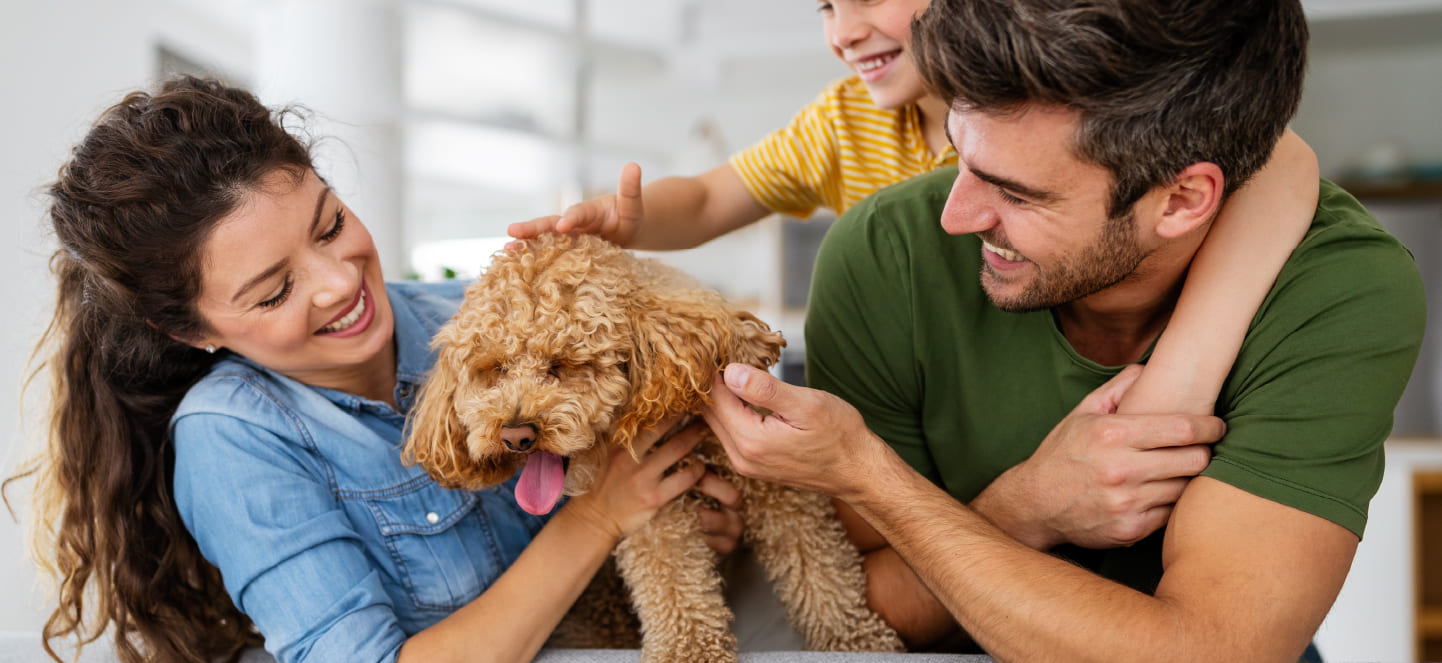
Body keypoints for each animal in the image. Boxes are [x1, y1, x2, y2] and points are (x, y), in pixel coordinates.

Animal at [403, 233, 899, 663]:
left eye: (562, 364)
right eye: (496, 369)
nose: (516, 434)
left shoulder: (781, 493)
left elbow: (822, 569)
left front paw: (855, 642)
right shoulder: (654, 511)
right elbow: (675, 583)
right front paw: (690, 652)